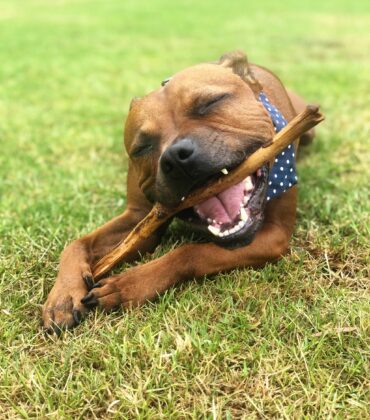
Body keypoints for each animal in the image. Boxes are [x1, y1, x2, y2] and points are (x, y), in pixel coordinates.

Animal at [42, 50, 316, 332]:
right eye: (141, 147)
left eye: (212, 102)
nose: (177, 157)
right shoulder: (139, 219)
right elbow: (76, 244)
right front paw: (63, 295)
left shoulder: (274, 236)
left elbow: (190, 252)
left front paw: (128, 285)